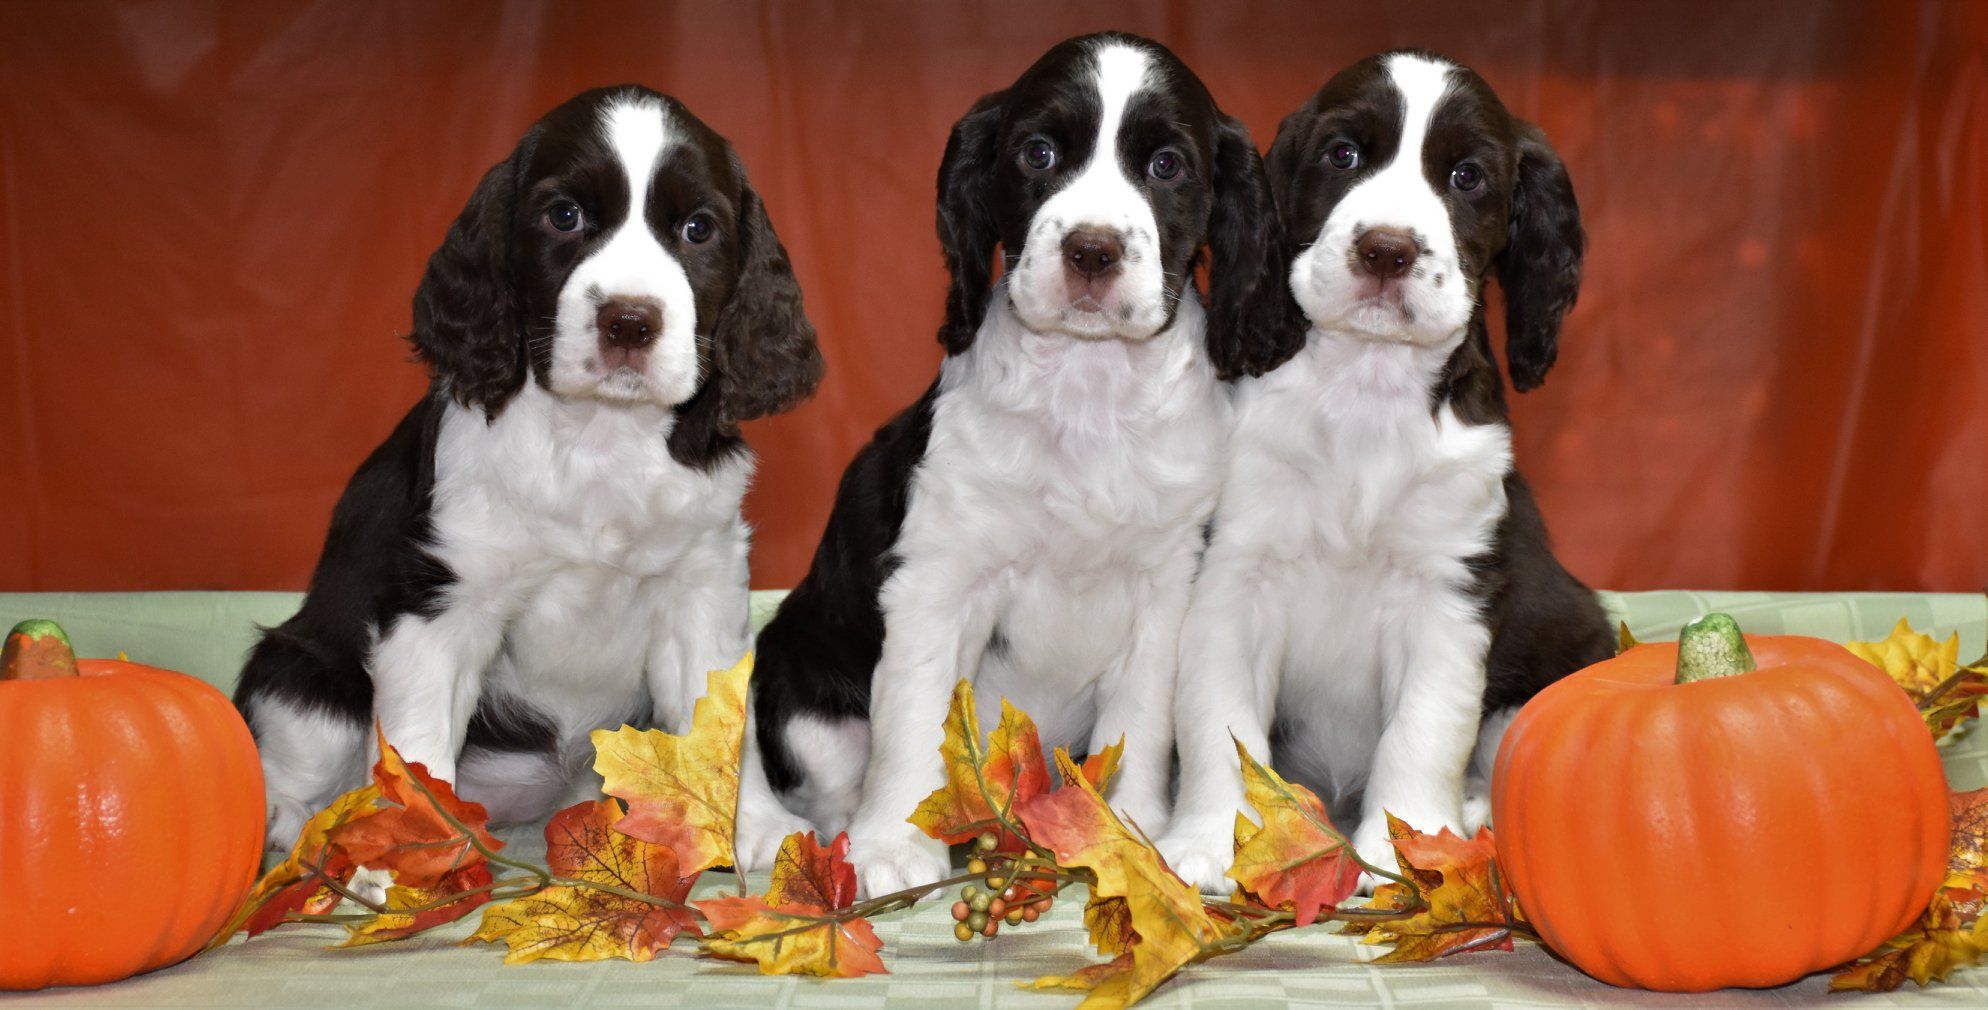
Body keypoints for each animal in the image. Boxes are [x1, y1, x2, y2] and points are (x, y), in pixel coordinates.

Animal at [234, 84, 823, 866]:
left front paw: (757, 827)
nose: (629, 322)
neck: (602, 434)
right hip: (304, 677)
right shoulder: (440, 609)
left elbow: (724, 725)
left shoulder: (700, 592)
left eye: (699, 228)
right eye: (564, 216)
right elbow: (416, 755)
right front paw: (407, 863)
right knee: (295, 767)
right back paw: (299, 831)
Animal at [751, 33, 1296, 898]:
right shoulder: (938, 583)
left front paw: (1129, 836)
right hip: (801, 674)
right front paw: (895, 845)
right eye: (1038, 153)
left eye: (1167, 165)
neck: (1087, 391)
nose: (1092, 251)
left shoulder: (1164, 590)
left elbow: (1139, 725)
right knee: (832, 779)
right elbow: (916, 712)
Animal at [1160, 53, 1614, 890]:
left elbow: (1423, 729)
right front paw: (1209, 843)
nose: (1386, 250)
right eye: (1343, 154)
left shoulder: (1446, 592)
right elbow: (1222, 725)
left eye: (1467, 176)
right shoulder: (1236, 574)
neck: (1366, 390)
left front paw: (1409, 851)